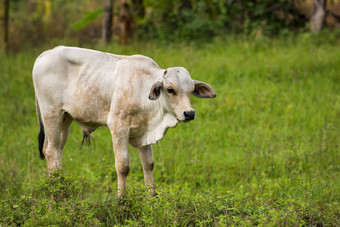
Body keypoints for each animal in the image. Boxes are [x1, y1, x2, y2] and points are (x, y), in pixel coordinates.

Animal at [33, 46, 216, 199]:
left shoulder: (144, 132)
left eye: (191, 90)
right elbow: (123, 166)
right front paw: (121, 201)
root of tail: (44, 54)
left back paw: (59, 188)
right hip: (52, 114)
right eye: (170, 90)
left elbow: (148, 164)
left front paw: (152, 198)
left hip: (66, 118)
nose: (189, 113)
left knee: (56, 151)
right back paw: (56, 194)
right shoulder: (118, 127)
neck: (142, 91)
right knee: (51, 151)